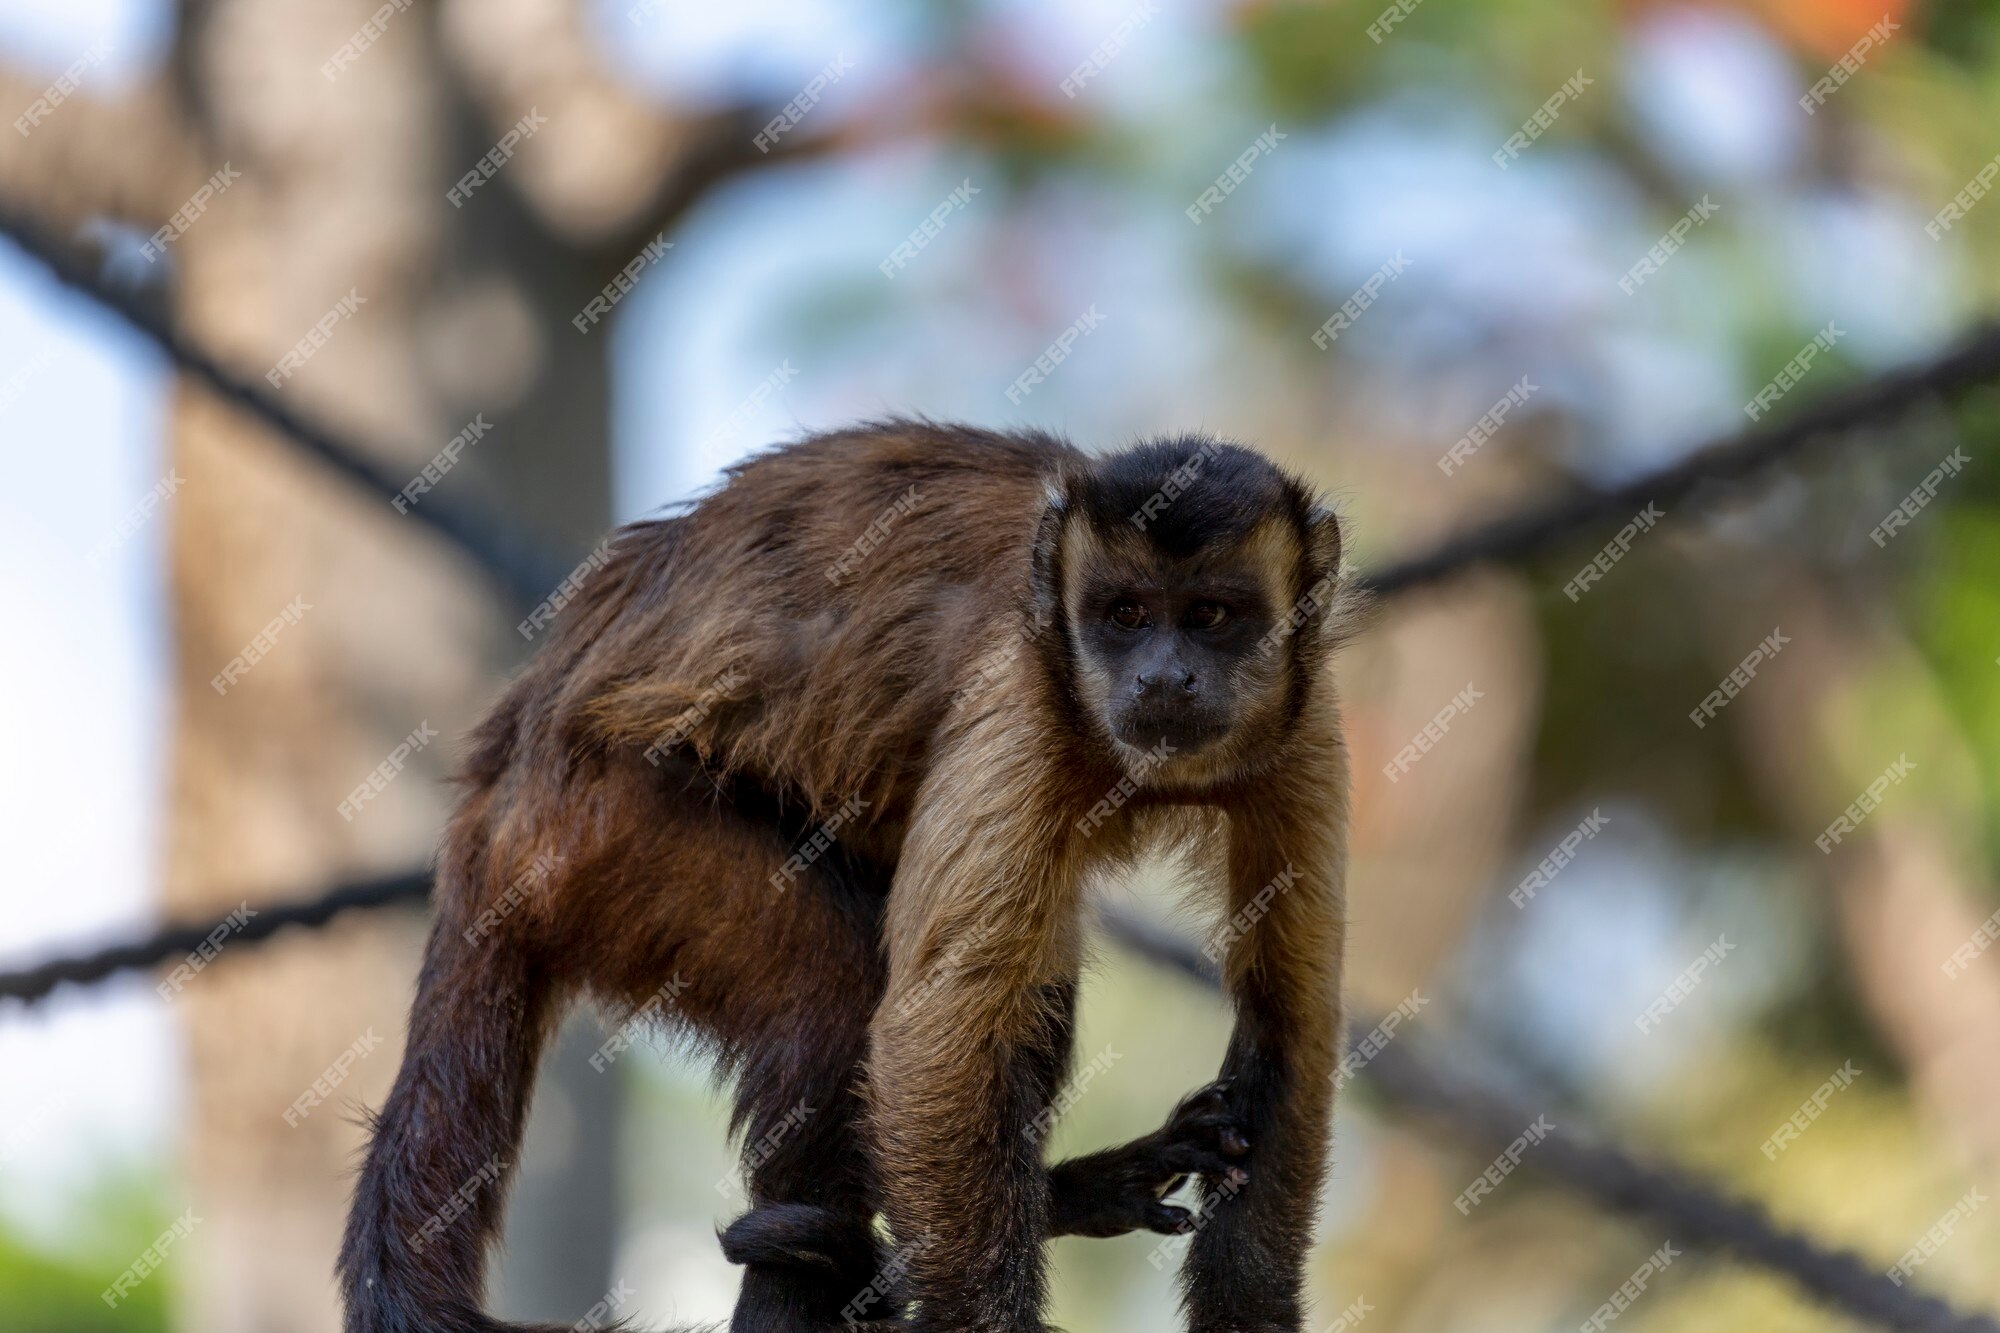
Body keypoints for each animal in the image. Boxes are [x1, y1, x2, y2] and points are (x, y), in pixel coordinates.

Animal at [340, 418, 1360, 1328]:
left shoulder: (1306, 723)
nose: (1160, 678)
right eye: (1127, 616)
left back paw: (1056, 1200)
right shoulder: (1019, 699)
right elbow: (931, 1036)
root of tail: (500, 770)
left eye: (1212, 617)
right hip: (595, 830)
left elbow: (1289, 1017)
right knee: (835, 989)